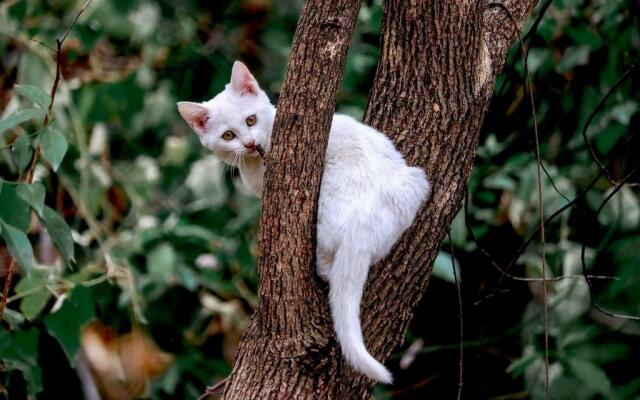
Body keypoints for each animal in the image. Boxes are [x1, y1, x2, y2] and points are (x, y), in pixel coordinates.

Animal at [178, 61, 430, 382]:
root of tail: (363, 222)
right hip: (416, 179)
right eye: (228, 136)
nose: (249, 143)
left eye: (250, 120)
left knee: (327, 268)